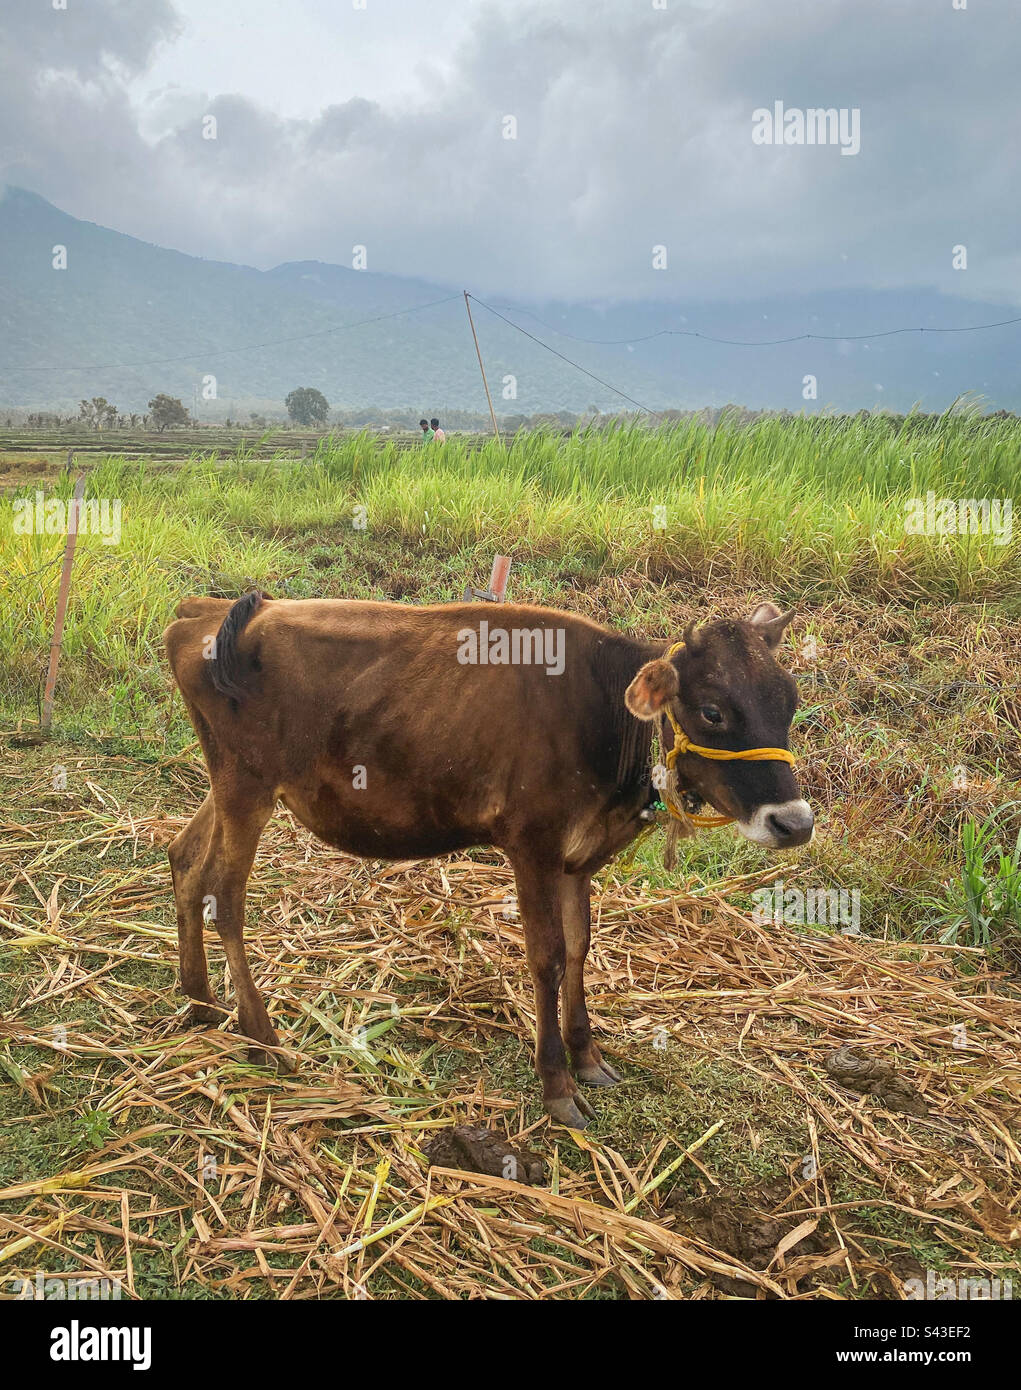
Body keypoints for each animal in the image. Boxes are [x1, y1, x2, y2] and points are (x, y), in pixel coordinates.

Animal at [164, 593, 813, 1128]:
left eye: (790, 702)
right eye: (712, 711)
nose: (795, 823)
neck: (604, 719)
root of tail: (206, 610)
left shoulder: (577, 859)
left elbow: (580, 948)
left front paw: (588, 1056)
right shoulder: (532, 847)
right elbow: (547, 958)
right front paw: (556, 1086)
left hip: (227, 785)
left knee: (185, 860)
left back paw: (199, 1001)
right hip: (246, 785)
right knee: (226, 895)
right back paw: (261, 1037)